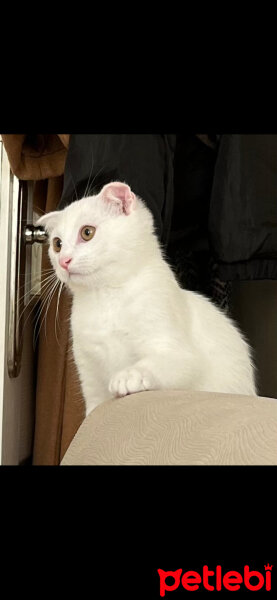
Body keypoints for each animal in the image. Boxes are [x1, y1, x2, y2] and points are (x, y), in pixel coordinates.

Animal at [36, 182, 254, 418]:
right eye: (57, 244)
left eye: (87, 232)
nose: (64, 261)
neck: (105, 297)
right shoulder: (89, 371)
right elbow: (94, 407)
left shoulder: (179, 350)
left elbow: (162, 362)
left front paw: (128, 376)